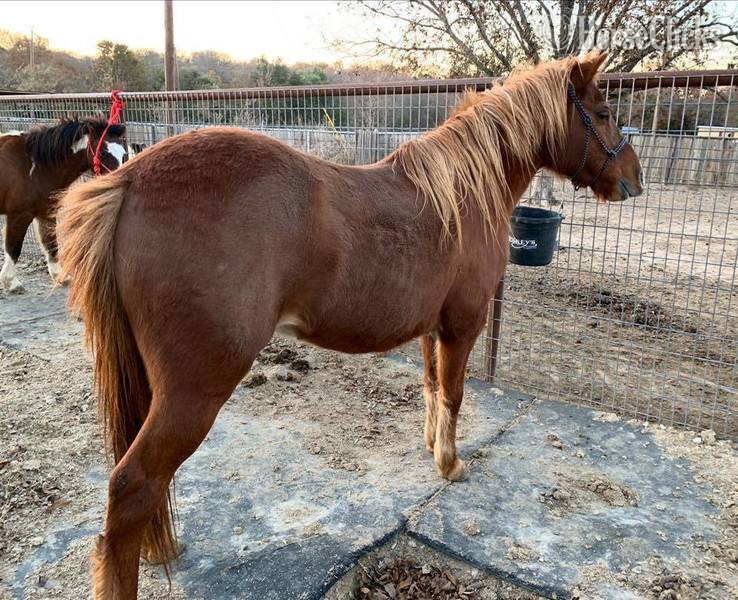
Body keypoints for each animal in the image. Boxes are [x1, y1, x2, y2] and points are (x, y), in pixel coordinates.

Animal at [0, 118, 127, 293]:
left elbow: (51, 242)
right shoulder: (19, 215)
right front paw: (11, 283)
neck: (35, 166)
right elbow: (13, 247)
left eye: (124, 154)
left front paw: (60, 276)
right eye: (103, 153)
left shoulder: (45, 212)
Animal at [58, 53, 642, 599]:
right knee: (132, 484)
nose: (634, 180)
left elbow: (431, 387)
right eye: (604, 113)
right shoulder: (463, 324)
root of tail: (129, 182)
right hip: (194, 389)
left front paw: (431, 445)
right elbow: (453, 393)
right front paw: (450, 464)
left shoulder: (432, 327)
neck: (463, 193)